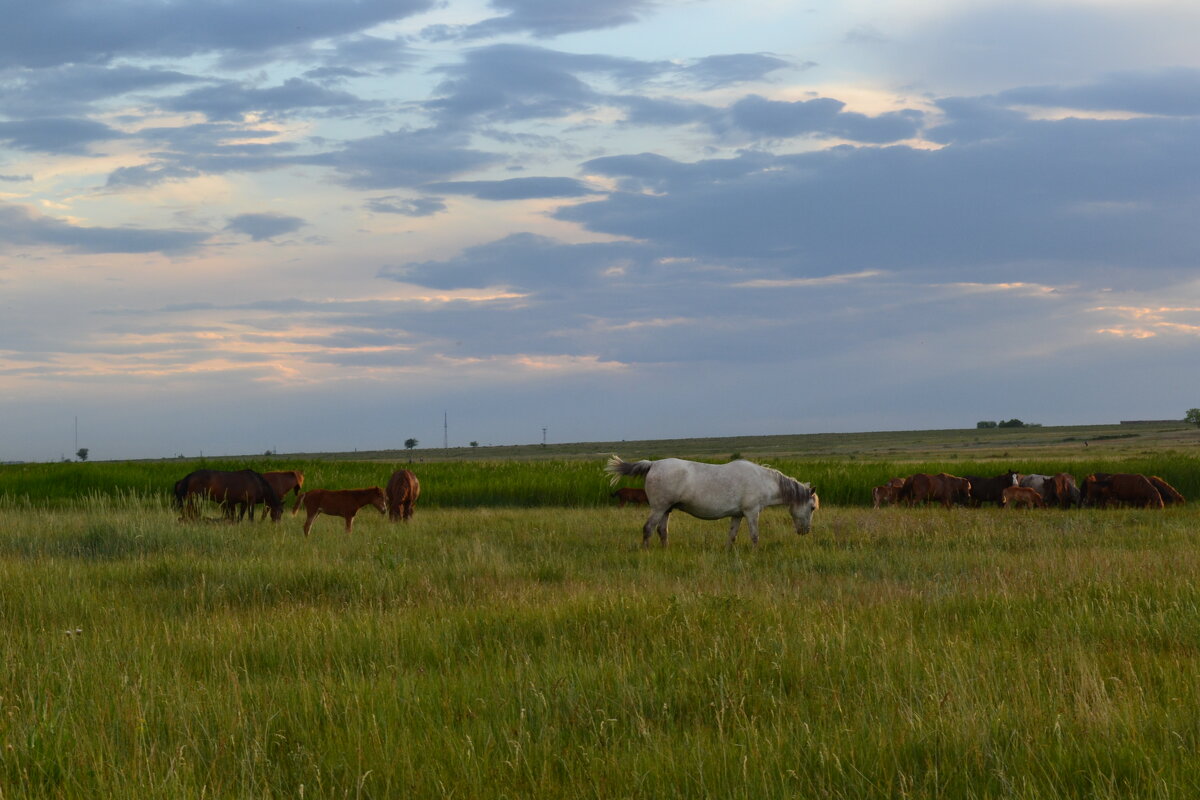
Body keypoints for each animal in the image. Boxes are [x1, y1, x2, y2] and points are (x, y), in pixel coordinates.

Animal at [604, 453, 820, 546]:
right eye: (812, 508)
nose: (805, 531)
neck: (762, 480)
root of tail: (653, 464)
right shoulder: (751, 513)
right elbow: (754, 535)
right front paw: (754, 553)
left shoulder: (737, 515)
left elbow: (732, 536)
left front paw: (729, 553)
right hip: (658, 508)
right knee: (648, 529)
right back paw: (646, 551)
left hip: (667, 510)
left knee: (662, 531)